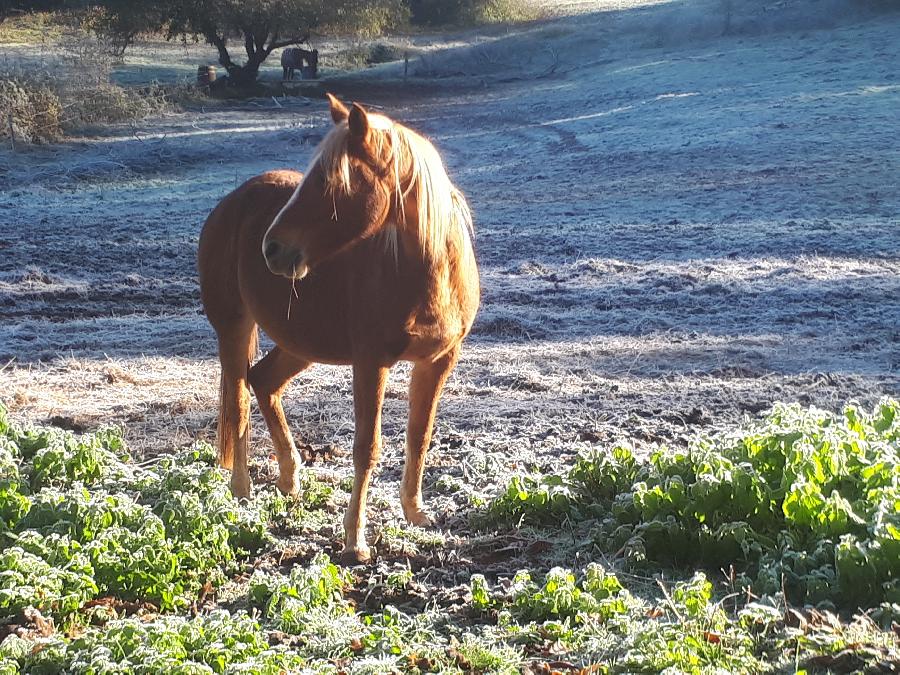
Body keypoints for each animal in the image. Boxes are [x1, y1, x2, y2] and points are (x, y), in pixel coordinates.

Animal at [197, 92, 478, 564]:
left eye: (331, 182)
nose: (272, 249)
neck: (430, 274)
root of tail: (230, 203)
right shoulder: (371, 363)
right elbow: (367, 448)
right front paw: (355, 540)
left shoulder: (438, 361)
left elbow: (419, 436)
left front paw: (416, 513)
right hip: (233, 329)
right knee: (237, 402)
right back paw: (242, 490)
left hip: (300, 343)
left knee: (263, 382)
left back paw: (290, 479)